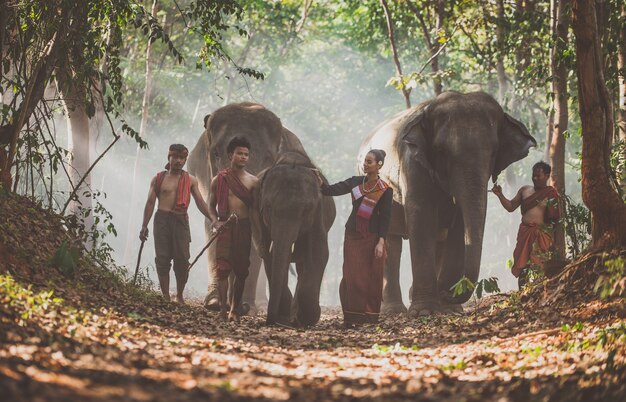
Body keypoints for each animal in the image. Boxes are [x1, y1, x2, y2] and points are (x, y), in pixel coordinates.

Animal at [188, 102, 304, 312]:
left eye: (269, 158)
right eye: (216, 154)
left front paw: (245, 306)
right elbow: (213, 227)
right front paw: (214, 303)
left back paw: (260, 304)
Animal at [252, 152, 334, 326]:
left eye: (306, 210)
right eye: (268, 207)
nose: (270, 321)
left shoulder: (318, 215)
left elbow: (319, 254)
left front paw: (306, 318)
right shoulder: (260, 219)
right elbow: (270, 255)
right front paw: (285, 316)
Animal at [358, 91, 532, 318]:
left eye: (494, 152)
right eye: (441, 151)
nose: (447, 294)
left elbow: (458, 226)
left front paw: (449, 309)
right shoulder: (412, 165)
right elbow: (421, 217)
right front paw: (424, 311)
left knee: (438, 240)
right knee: (391, 242)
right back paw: (394, 311)